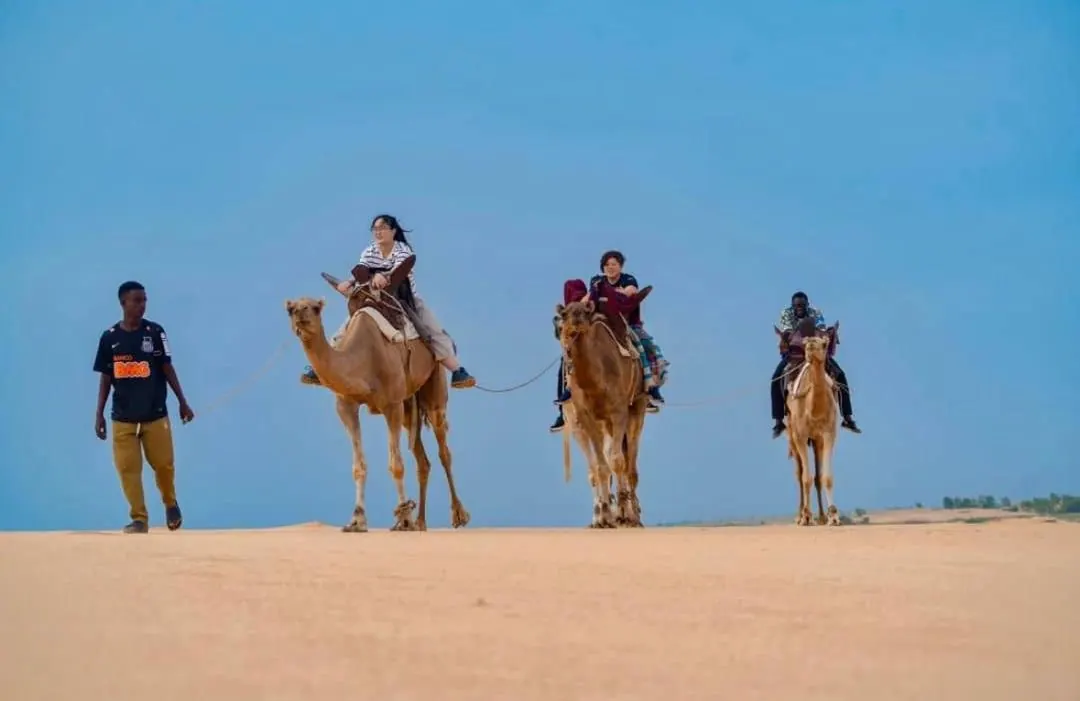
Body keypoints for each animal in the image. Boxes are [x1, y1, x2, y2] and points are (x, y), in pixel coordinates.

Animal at [284, 289, 469, 533]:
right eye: (290, 309)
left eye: (315, 308)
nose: (299, 312)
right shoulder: (346, 406)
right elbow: (359, 466)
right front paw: (357, 520)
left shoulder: (391, 405)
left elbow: (396, 465)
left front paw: (404, 519)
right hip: (408, 407)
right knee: (422, 460)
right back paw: (420, 523)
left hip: (434, 383)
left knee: (444, 450)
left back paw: (458, 515)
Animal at [556, 297, 649, 528]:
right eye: (561, 324)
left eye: (582, 322)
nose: (568, 350)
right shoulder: (584, 419)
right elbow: (599, 468)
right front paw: (603, 516)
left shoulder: (618, 413)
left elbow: (617, 462)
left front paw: (623, 514)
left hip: (637, 408)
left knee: (630, 463)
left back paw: (634, 516)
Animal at [784, 334, 841, 526]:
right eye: (805, 344)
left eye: (824, 344)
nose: (809, 345)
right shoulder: (800, 435)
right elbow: (805, 478)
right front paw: (807, 517)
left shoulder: (829, 433)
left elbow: (826, 477)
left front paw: (833, 516)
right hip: (791, 435)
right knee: (799, 473)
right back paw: (800, 515)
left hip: (817, 441)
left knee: (817, 475)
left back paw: (822, 516)